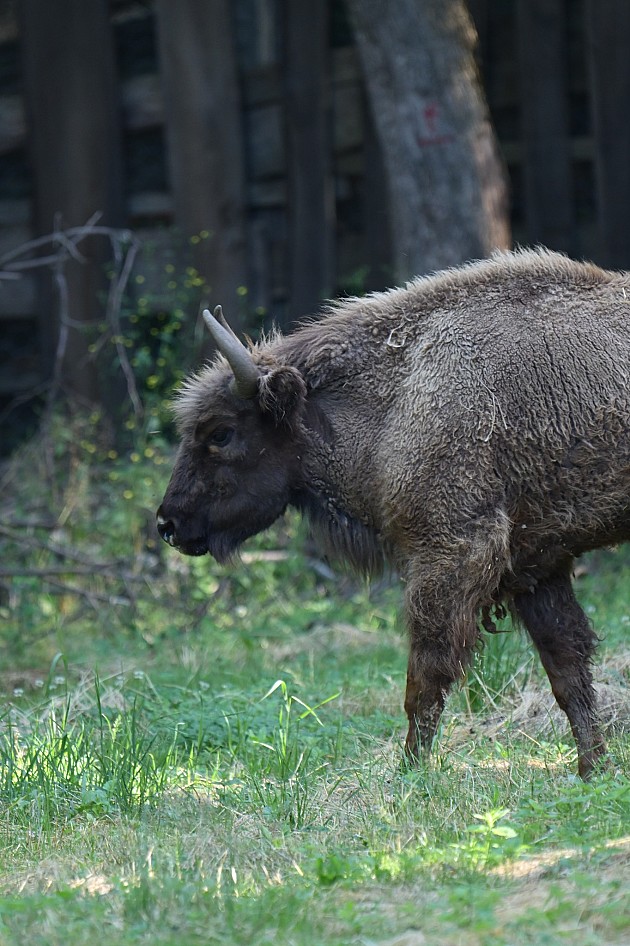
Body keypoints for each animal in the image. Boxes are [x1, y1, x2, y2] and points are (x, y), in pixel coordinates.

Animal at [158, 247, 630, 780]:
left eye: (220, 432)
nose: (168, 524)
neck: (399, 393)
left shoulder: (451, 552)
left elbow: (426, 677)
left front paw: (409, 773)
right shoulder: (536, 566)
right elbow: (567, 668)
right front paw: (593, 769)